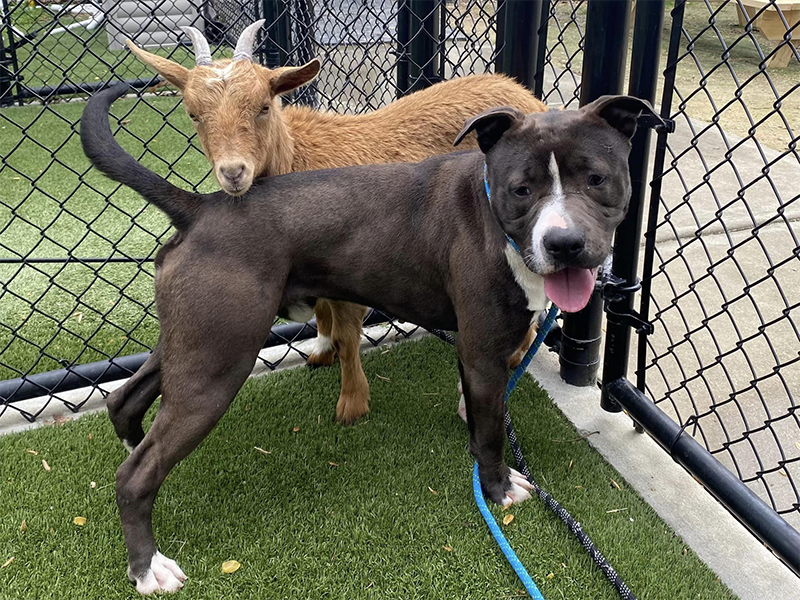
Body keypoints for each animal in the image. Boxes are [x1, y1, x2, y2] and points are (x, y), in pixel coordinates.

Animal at [81, 82, 660, 592]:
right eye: (522, 189)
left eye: (597, 178)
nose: (565, 244)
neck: (492, 212)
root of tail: (202, 207)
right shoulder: (484, 350)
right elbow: (494, 432)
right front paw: (497, 489)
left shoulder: (477, 352)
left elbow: (479, 416)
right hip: (217, 364)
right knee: (135, 474)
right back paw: (148, 568)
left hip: (192, 344)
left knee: (124, 400)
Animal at [128, 21, 548, 424]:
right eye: (193, 114)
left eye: (263, 106)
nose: (234, 172)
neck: (298, 157)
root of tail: (526, 96)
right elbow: (321, 315)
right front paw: (320, 353)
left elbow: (348, 336)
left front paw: (351, 404)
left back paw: (515, 357)